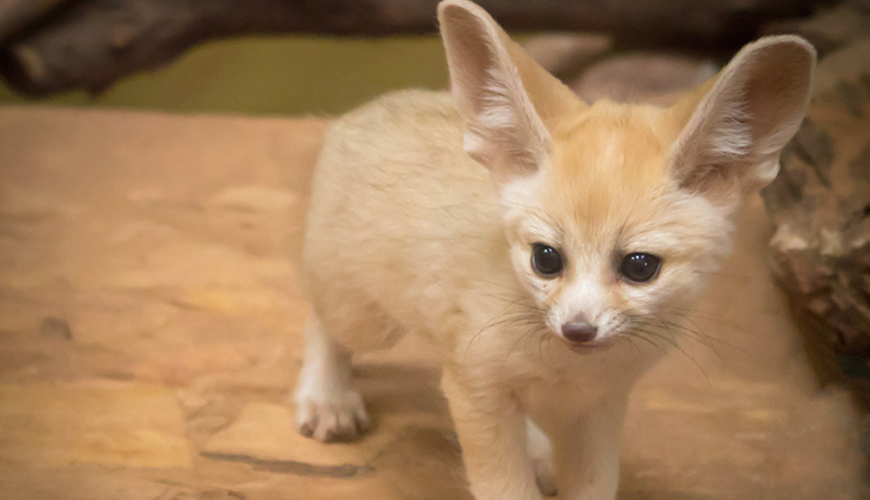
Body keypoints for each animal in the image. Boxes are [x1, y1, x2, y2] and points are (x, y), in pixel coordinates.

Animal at [292, 0, 816, 498]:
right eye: (545, 259)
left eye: (640, 267)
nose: (577, 330)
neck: (569, 369)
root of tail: (370, 107)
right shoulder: (474, 389)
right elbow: (505, 487)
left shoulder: (600, 405)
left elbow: (594, 484)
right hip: (365, 318)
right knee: (320, 317)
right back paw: (327, 396)